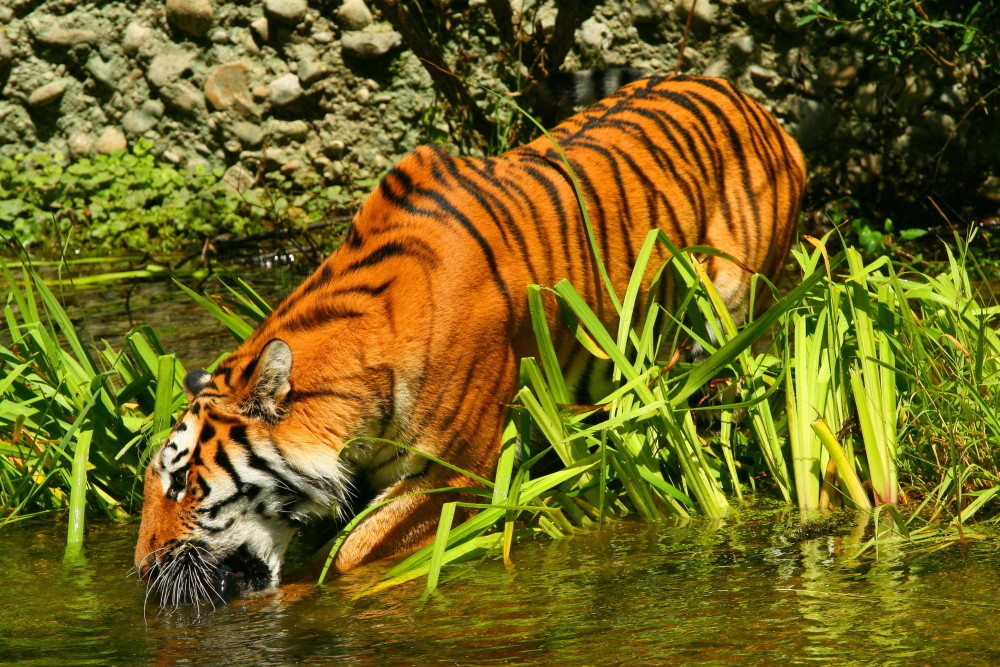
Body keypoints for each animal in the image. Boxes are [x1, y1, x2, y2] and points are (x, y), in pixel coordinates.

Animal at [135, 73, 804, 604]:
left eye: (184, 484)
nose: (142, 571)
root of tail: (753, 102)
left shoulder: (460, 470)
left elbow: (350, 555)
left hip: (740, 311)